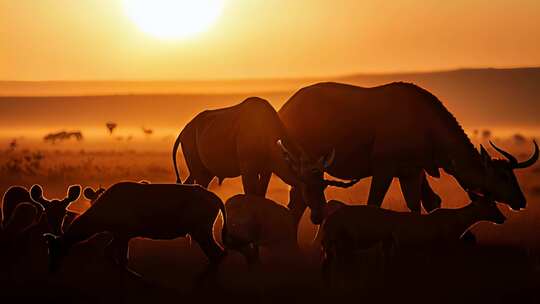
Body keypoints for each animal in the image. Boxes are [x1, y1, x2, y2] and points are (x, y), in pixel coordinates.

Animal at [171, 96, 352, 224]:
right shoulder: (248, 172)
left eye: (324, 186)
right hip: (199, 172)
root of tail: (184, 131)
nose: (319, 216)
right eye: (306, 185)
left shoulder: (266, 171)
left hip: (205, 172)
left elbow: (260, 197)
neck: (264, 132)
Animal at [276, 82, 536, 222]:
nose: (520, 200)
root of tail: (285, 109)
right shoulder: (384, 169)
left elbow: (421, 205)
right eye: (502, 176)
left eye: (512, 175)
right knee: (299, 202)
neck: (426, 125)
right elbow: (374, 204)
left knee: (298, 203)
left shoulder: (412, 172)